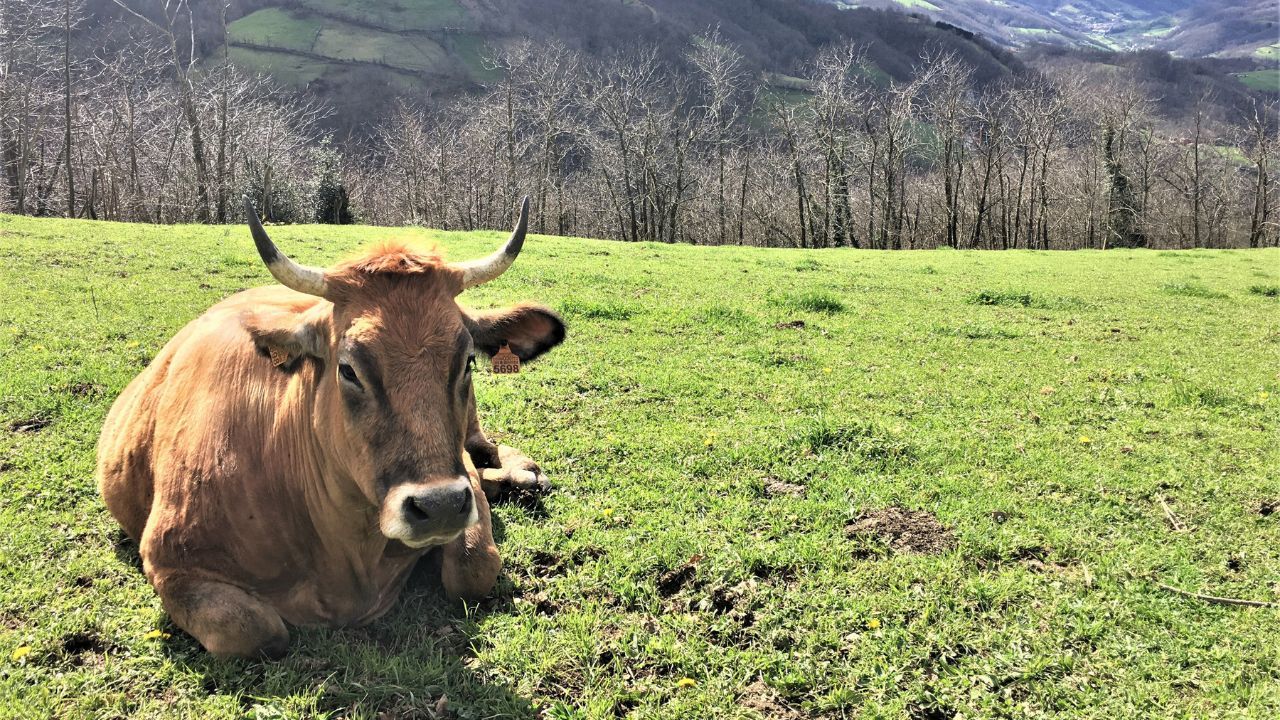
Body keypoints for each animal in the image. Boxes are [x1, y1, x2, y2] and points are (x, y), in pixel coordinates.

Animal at [94, 196, 565, 655]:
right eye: (348, 369)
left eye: (467, 361)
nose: (441, 506)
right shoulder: (169, 562)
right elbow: (255, 631)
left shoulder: (459, 477)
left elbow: (473, 569)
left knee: (484, 446)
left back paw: (523, 474)